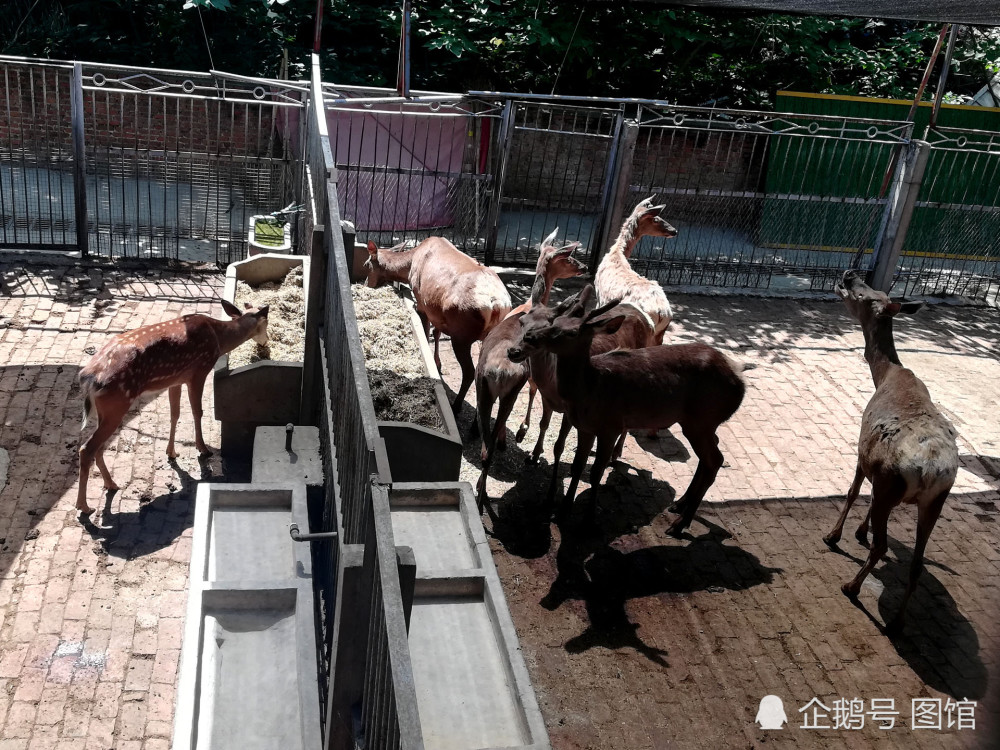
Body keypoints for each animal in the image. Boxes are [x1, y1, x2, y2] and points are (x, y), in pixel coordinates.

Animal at [76, 300, 270, 516]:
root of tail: (89, 377)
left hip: (107, 409)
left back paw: (111, 484)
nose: (266, 342)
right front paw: (203, 449)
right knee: (87, 449)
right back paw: (84, 506)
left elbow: (175, 413)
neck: (219, 339)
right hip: (117, 404)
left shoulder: (175, 380)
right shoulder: (199, 371)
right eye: (267, 322)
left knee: (98, 447)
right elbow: (197, 411)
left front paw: (171, 452)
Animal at [364, 236, 512, 414]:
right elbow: (436, 333)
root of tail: (497, 306)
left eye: (366, 264)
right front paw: (438, 364)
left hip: (461, 334)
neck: (409, 267)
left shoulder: (422, 303)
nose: (366, 284)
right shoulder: (437, 312)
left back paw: (456, 406)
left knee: (470, 371)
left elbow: (426, 333)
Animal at [512, 284, 748, 536]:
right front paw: (563, 511)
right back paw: (679, 505)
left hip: (701, 420)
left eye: (571, 332)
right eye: (556, 322)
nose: (529, 338)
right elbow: (576, 466)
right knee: (710, 456)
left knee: (715, 459)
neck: (591, 387)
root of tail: (740, 382)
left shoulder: (610, 426)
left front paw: (588, 520)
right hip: (700, 423)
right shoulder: (585, 427)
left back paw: (679, 524)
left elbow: (596, 472)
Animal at [592, 195, 680, 346]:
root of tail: (662, 314)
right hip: (659, 337)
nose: (674, 231)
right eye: (656, 219)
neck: (616, 254)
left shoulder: (599, 297)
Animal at [824, 270, 956, 636]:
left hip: (894, 482)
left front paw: (836, 535)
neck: (885, 376)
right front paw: (858, 531)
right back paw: (897, 622)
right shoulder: (879, 472)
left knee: (883, 545)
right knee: (916, 563)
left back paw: (851, 587)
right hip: (933, 500)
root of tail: (931, 471)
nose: (850, 274)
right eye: (875, 290)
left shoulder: (863, 449)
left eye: (865, 296)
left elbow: (854, 490)